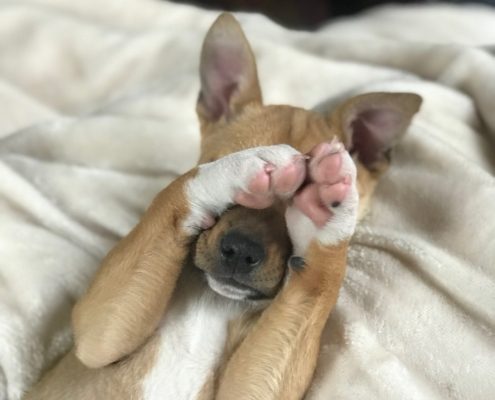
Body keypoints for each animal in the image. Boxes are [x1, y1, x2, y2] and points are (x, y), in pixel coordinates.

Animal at [25, 12, 422, 400]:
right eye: (224, 165)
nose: (240, 252)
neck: (214, 302)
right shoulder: (99, 333)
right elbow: (176, 191)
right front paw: (238, 169)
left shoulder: (252, 384)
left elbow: (320, 279)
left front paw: (325, 211)